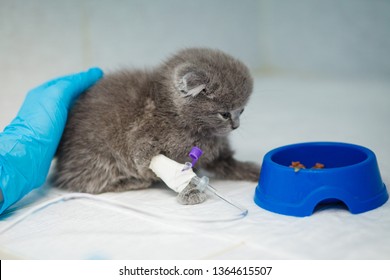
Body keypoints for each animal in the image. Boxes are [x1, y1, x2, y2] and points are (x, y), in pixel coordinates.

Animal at [54, 48, 258, 205]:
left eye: (242, 111)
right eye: (225, 114)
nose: (236, 126)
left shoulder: (217, 154)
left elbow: (231, 164)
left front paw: (255, 171)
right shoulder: (142, 138)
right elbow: (160, 167)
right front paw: (190, 191)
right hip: (98, 157)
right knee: (85, 182)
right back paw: (131, 182)